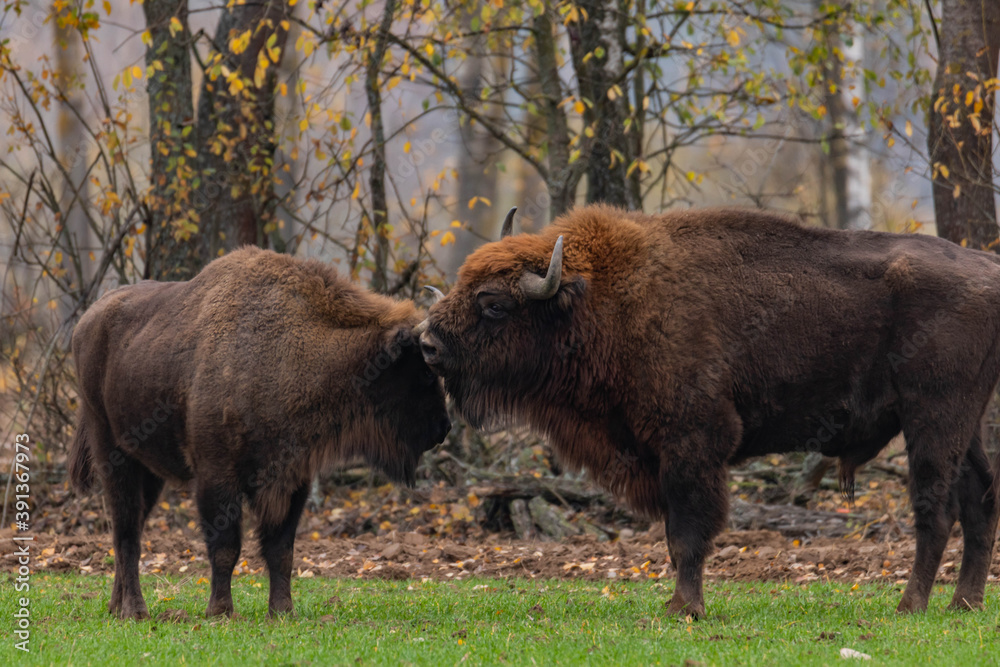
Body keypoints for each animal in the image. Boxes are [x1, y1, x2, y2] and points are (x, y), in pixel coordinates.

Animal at [67, 248, 450, 620]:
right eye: (425, 372)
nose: (444, 428)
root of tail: (85, 323)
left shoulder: (293, 479)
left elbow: (281, 550)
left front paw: (282, 611)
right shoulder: (217, 476)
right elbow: (226, 547)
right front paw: (221, 611)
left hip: (149, 471)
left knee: (130, 530)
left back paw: (116, 607)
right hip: (114, 456)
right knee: (126, 533)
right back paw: (135, 611)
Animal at [418, 206, 1000, 620]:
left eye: (494, 303)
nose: (427, 342)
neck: (604, 299)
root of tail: (988, 269)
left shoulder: (691, 445)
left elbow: (688, 532)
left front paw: (684, 609)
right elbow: (677, 538)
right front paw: (679, 604)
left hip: (933, 418)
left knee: (936, 508)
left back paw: (910, 606)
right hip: (964, 422)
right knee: (979, 499)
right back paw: (964, 603)